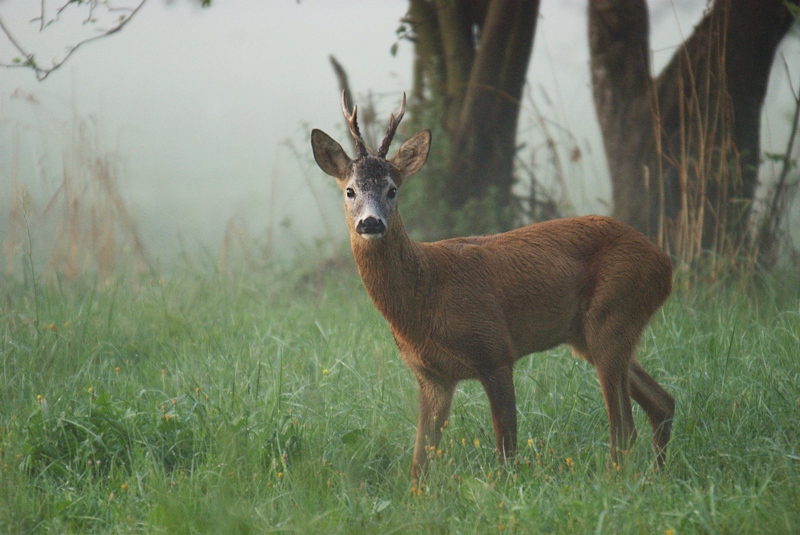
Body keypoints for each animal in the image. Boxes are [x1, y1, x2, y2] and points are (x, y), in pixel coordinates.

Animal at [312, 92, 676, 482]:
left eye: (392, 190)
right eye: (350, 191)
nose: (371, 222)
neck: (425, 300)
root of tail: (665, 264)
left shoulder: (495, 350)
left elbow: (507, 452)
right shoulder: (433, 377)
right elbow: (419, 464)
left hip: (613, 313)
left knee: (624, 429)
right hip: (592, 333)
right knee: (662, 402)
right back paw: (656, 477)